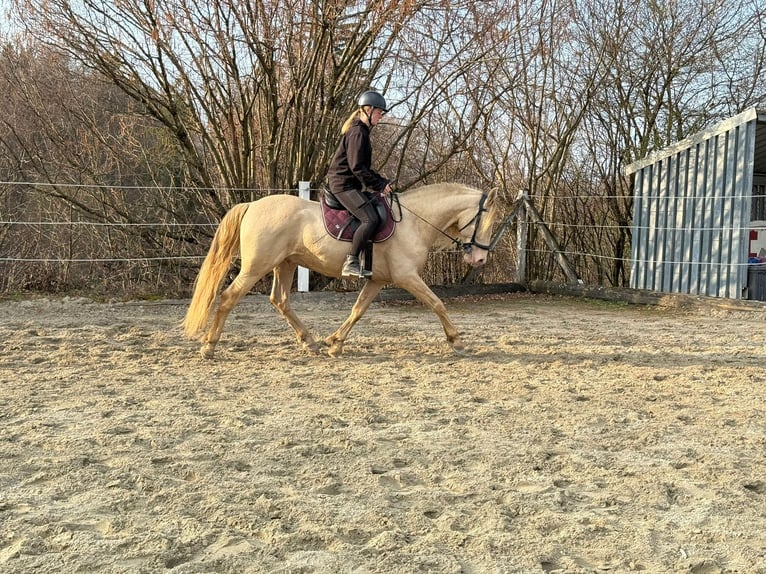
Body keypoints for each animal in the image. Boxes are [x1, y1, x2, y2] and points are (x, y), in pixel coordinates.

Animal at [182, 182, 498, 358]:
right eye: (485, 221)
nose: (480, 260)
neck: (414, 221)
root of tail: (253, 204)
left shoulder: (377, 281)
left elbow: (357, 311)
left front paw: (335, 343)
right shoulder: (407, 277)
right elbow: (437, 304)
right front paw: (456, 341)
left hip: (285, 264)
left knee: (280, 300)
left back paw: (310, 343)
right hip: (257, 266)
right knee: (228, 298)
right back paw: (209, 347)